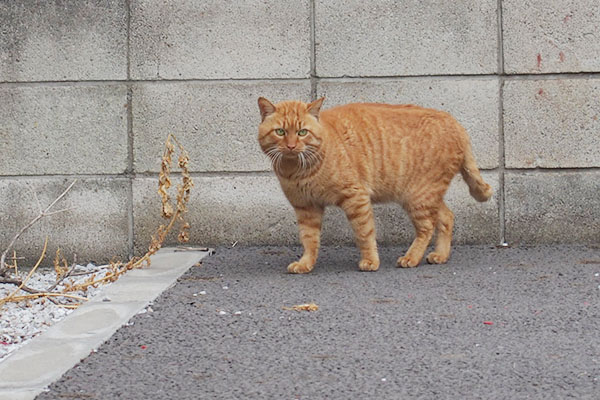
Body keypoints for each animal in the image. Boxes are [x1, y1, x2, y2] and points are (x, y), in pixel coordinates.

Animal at [258, 97, 492, 274]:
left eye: (302, 132)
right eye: (280, 132)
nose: (291, 146)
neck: (297, 169)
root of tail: (455, 123)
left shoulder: (356, 198)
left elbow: (364, 233)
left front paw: (371, 261)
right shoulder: (306, 207)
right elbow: (309, 239)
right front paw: (306, 263)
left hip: (418, 197)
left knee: (427, 227)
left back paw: (411, 258)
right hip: (427, 196)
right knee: (446, 217)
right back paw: (440, 255)